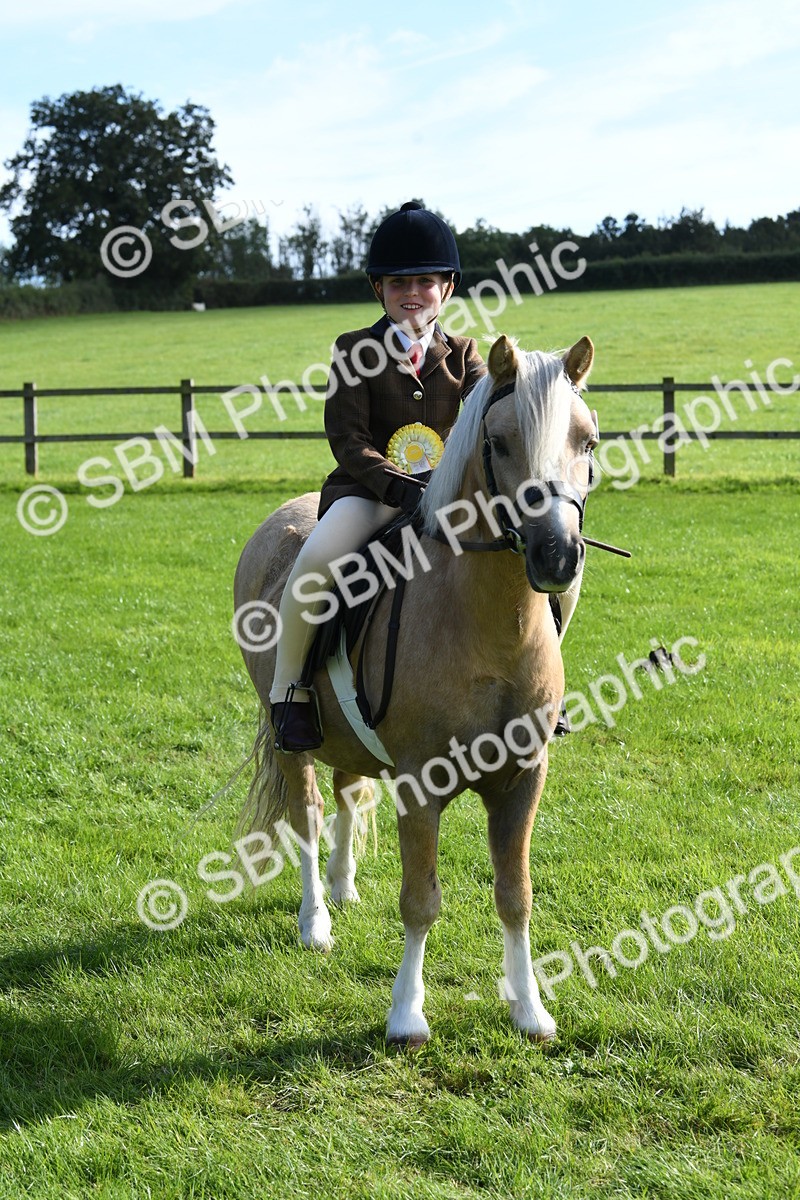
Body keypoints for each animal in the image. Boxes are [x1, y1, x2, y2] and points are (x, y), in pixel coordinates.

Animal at [232, 333, 598, 1045]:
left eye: (588, 441)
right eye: (500, 442)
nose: (557, 555)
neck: (489, 626)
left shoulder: (524, 779)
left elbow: (515, 895)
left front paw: (529, 1010)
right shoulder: (421, 784)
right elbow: (421, 901)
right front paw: (406, 1016)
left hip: (349, 737)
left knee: (346, 793)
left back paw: (343, 888)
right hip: (293, 736)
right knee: (308, 813)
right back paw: (315, 921)